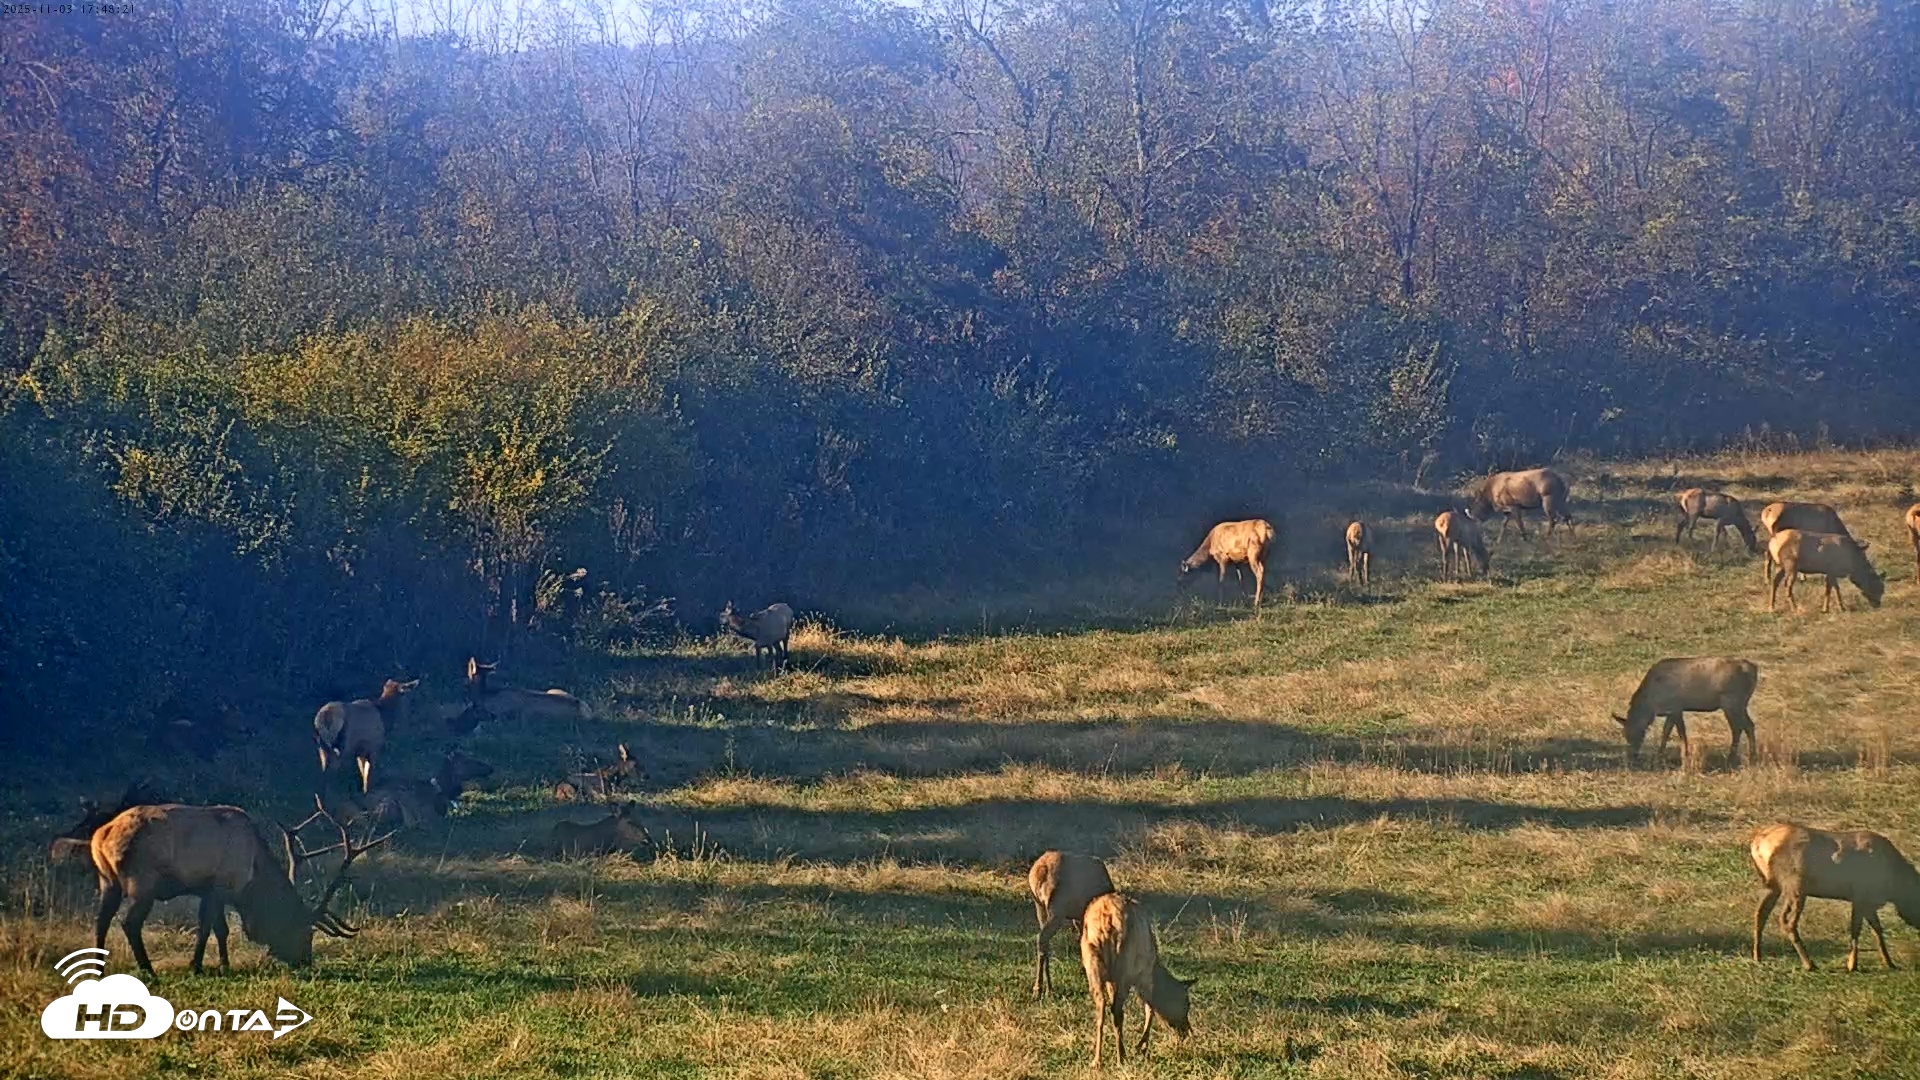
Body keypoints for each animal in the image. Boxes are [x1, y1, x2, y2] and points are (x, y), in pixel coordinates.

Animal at [57, 797, 389, 973]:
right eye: (305, 932)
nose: (306, 961)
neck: (253, 874)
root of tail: (101, 835)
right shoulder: (220, 886)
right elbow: (210, 927)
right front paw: (197, 966)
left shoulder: (210, 889)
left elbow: (219, 929)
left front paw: (224, 965)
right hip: (143, 881)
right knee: (129, 923)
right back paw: (148, 969)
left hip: (107, 881)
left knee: (101, 920)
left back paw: (98, 968)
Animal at [1029, 851, 1116, 998]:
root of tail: (1039, 872)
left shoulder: (1078, 918)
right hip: (1057, 909)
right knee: (1042, 938)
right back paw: (1039, 989)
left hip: (1039, 906)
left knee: (1044, 942)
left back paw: (1048, 988)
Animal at [1080, 892, 1194, 1067]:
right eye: (1187, 1003)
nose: (1187, 1032)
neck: (1156, 968)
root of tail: (1107, 920)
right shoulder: (1144, 976)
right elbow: (1150, 1008)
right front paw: (1141, 1047)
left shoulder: (1111, 981)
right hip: (1124, 968)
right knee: (1117, 1011)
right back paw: (1121, 1057)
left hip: (1092, 963)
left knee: (1102, 1007)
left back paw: (1097, 1060)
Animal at [1612, 657, 1759, 767]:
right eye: (1624, 734)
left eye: (1634, 733)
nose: (1632, 755)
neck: (1651, 705)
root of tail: (1754, 670)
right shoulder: (1671, 712)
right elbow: (1666, 732)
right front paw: (1660, 755)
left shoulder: (1676, 707)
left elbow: (1681, 733)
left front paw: (1685, 756)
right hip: (1741, 704)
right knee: (1749, 725)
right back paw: (1752, 757)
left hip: (1731, 702)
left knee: (1738, 727)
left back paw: (1732, 758)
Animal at [1750, 822, 1920, 971]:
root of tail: (1757, 843)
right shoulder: (1861, 896)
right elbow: (1856, 929)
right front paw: (1852, 965)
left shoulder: (1867, 901)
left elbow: (1876, 929)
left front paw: (1889, 963)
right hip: (1795, 886)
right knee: (1786, 922)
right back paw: (1809, 964)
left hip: (1772, 884)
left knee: (1760, 914)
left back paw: (1758, 957)